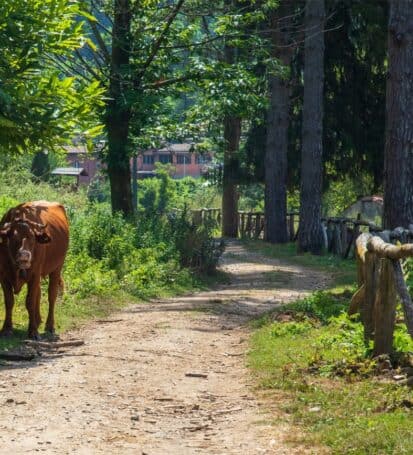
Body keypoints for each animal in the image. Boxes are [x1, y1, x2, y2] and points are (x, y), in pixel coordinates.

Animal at [0, 202, 69, 338]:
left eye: (32, 238)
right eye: (13, 237)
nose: (24, 256)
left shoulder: (34, 275)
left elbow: (30, 301)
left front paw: (33, 331)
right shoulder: (3, 276)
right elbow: (9, 301)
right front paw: (7, 328)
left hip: (57, 268)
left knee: (51, 296)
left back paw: (49, 326)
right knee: (39, 293)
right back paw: (37, 320)